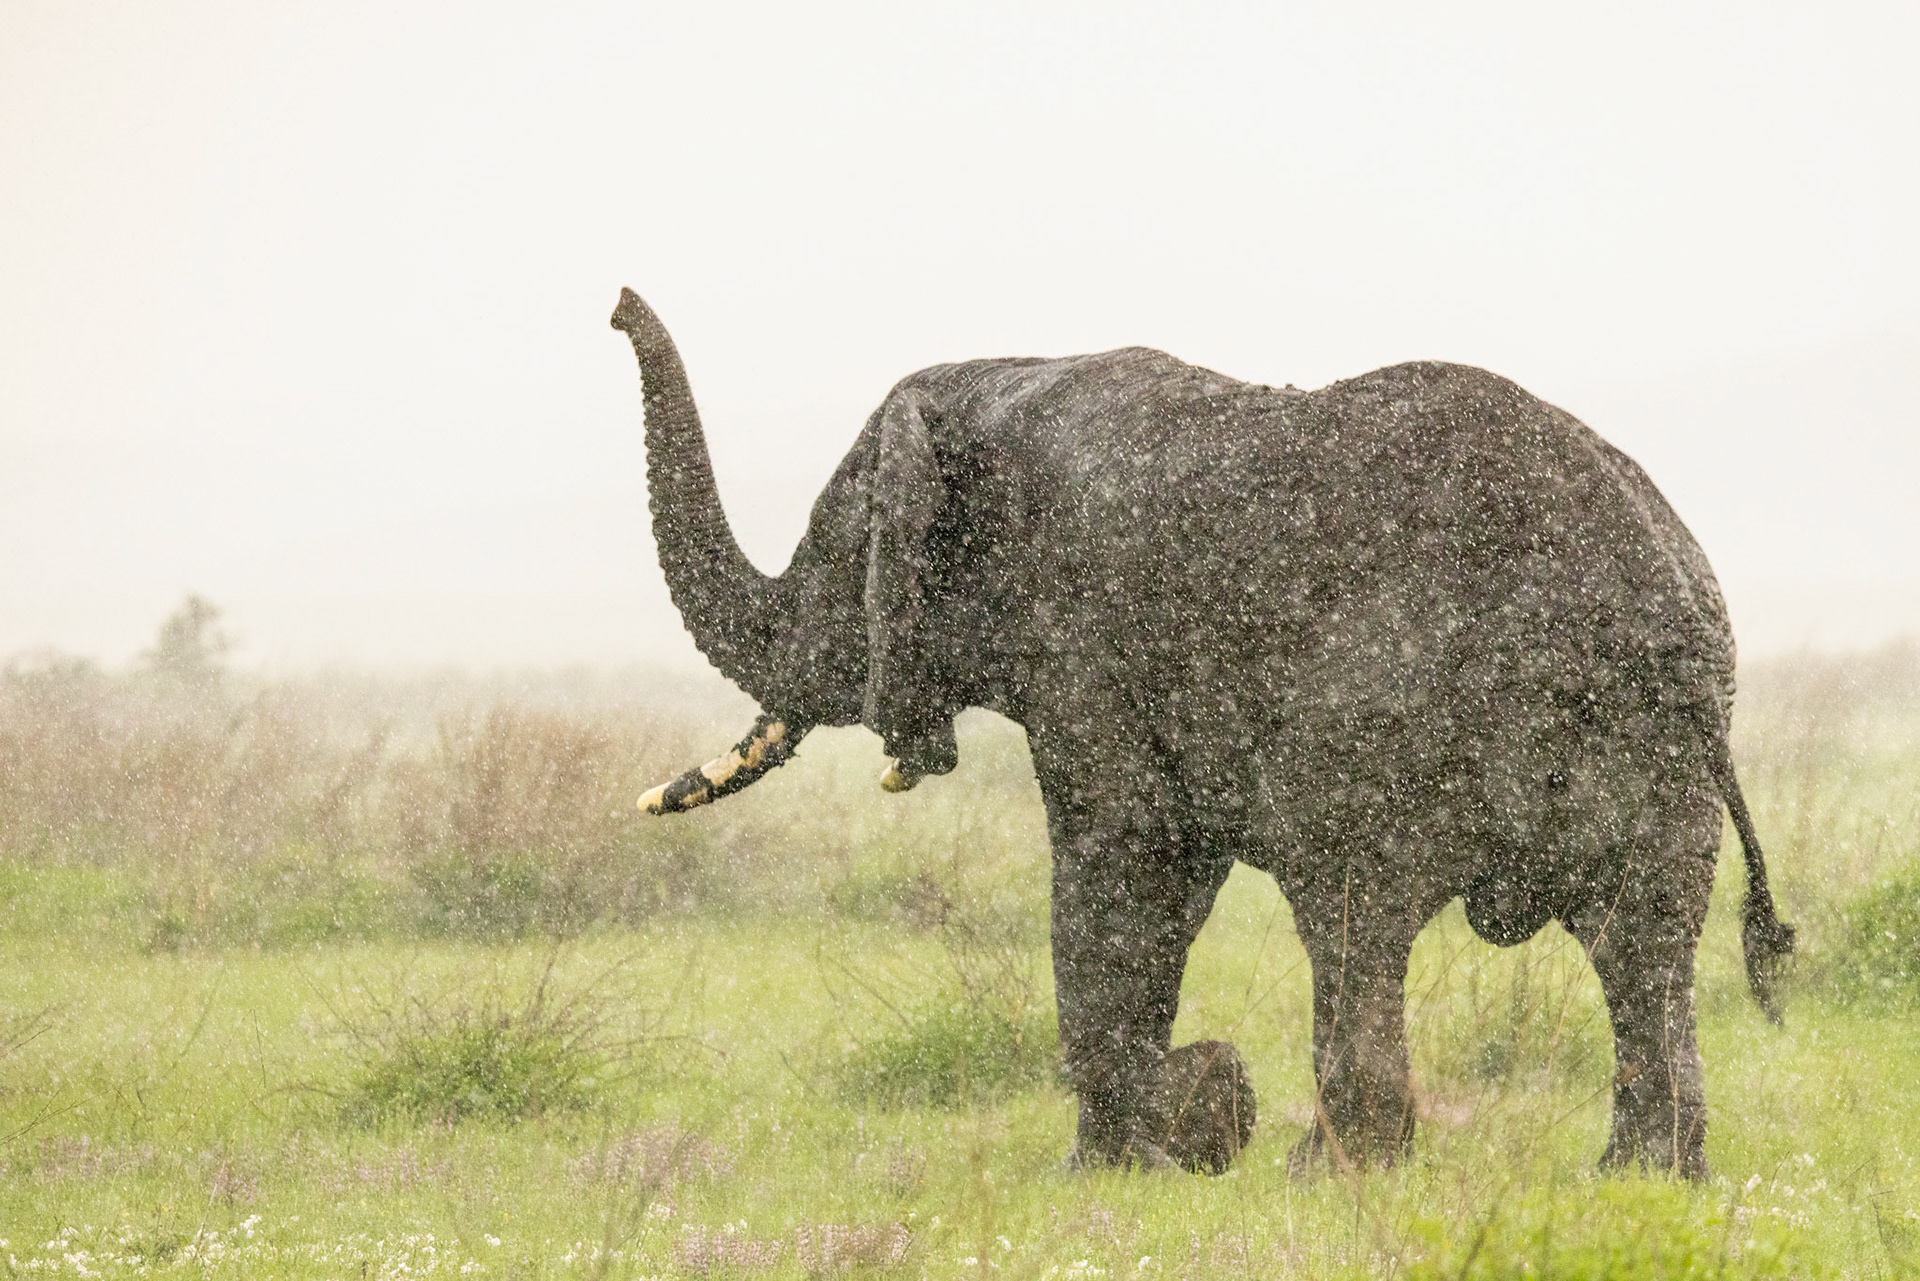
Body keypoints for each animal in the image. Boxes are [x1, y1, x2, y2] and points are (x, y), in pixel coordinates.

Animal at [609, 287, 1793, 1178]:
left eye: (836, 552)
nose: (617, 301)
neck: (1000, 376)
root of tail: (1669, 616)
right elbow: (1170, 877)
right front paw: (1181, 1125)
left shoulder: (1083, 633)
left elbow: (1123, 863)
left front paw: (1162, 1138)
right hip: (1661, 752)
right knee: (1643, 939)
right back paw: (1643, 1177)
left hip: (1389, 722)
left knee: (1354, 908)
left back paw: (1330, 1171)